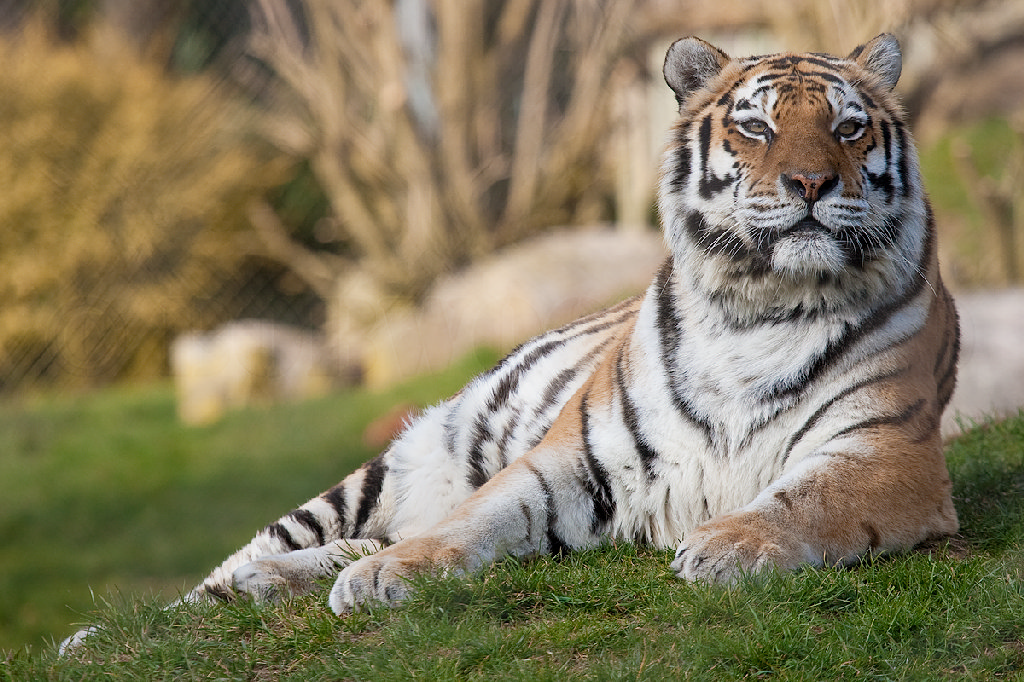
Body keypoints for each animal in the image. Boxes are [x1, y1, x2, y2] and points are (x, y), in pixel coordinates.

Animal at [63, 33, 959, 650]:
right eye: (757, 129)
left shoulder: (887, 453)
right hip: (386, 466)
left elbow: (805, 498)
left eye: (848, 129)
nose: (811, 183)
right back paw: (111, 634)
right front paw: (385, 578)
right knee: (236, 570)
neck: (761, 306)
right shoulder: (574, 457)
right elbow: (474, 520)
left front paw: (728, 545)